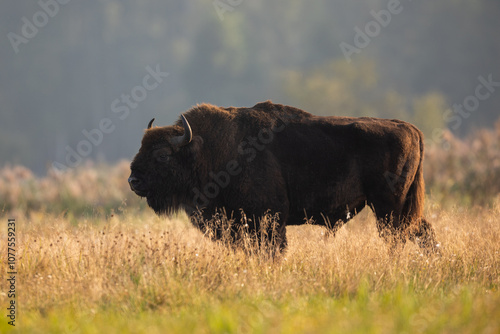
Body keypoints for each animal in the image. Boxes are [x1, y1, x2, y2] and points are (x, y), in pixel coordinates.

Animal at [129, 100, 438, 252]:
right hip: (404, 208)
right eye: (141, 146)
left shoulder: (267, 219)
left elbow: (273, 249)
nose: (133, 181)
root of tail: (411, 129)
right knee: (422, 232)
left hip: (389, 208)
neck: (207, 148)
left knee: (397, 238)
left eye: (162, 155)